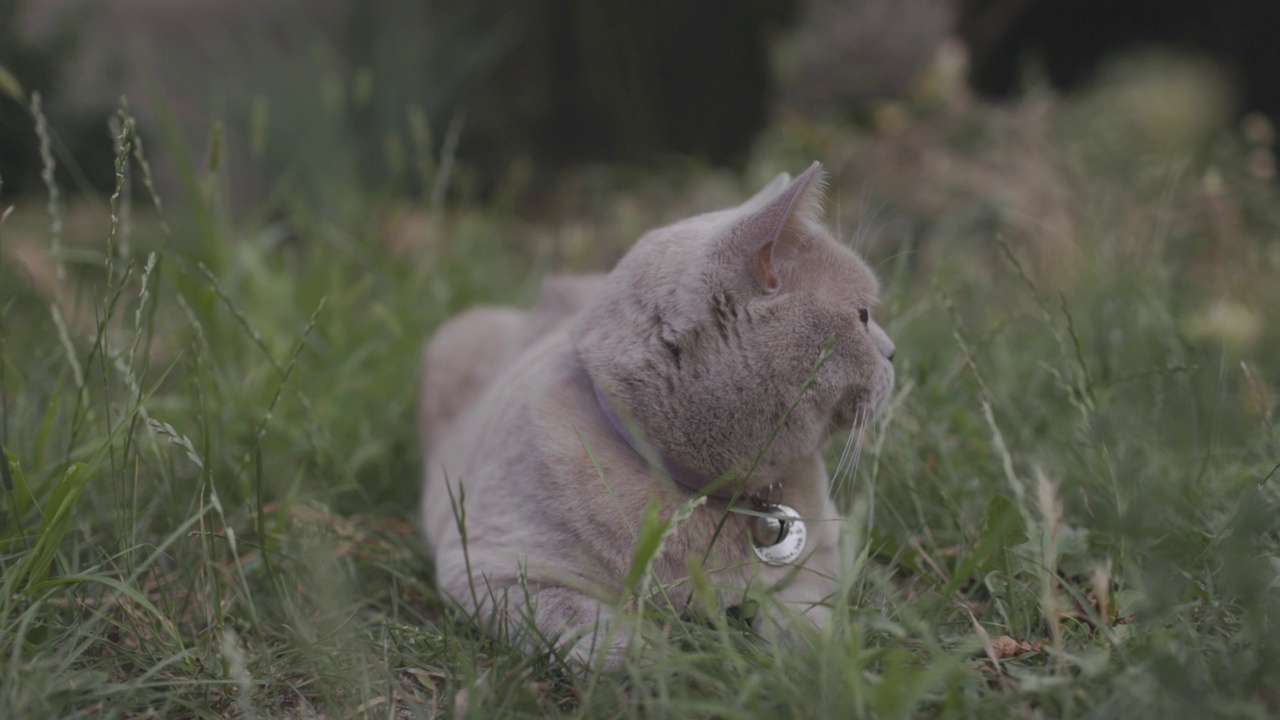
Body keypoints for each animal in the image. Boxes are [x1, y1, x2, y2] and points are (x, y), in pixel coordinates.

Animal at [414, 162, 896, 666]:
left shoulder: (826, 551)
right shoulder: (494, 573)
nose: (894, 353)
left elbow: (804, 617)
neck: (708, 493)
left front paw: (808, 661)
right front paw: (668, 665)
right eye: (863, 316)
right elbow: (594, 632)